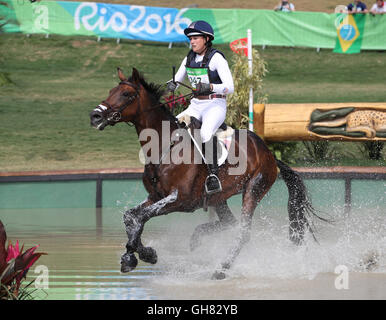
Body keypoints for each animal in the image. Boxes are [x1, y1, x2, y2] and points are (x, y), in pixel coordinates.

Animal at [89, 68, 322, 280]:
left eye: (126, 94)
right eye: (111, 91)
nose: (95, 116)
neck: (164, 146)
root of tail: (269, 153)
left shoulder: (178, 199)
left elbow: (140, 217)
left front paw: (136, 255)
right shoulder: (155, 196)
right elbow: (131, 216)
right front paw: (140, 254)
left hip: (254, 189)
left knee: (243, 232)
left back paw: (221, 269)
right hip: (219, 197)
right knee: (230, 223)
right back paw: (198, 237)